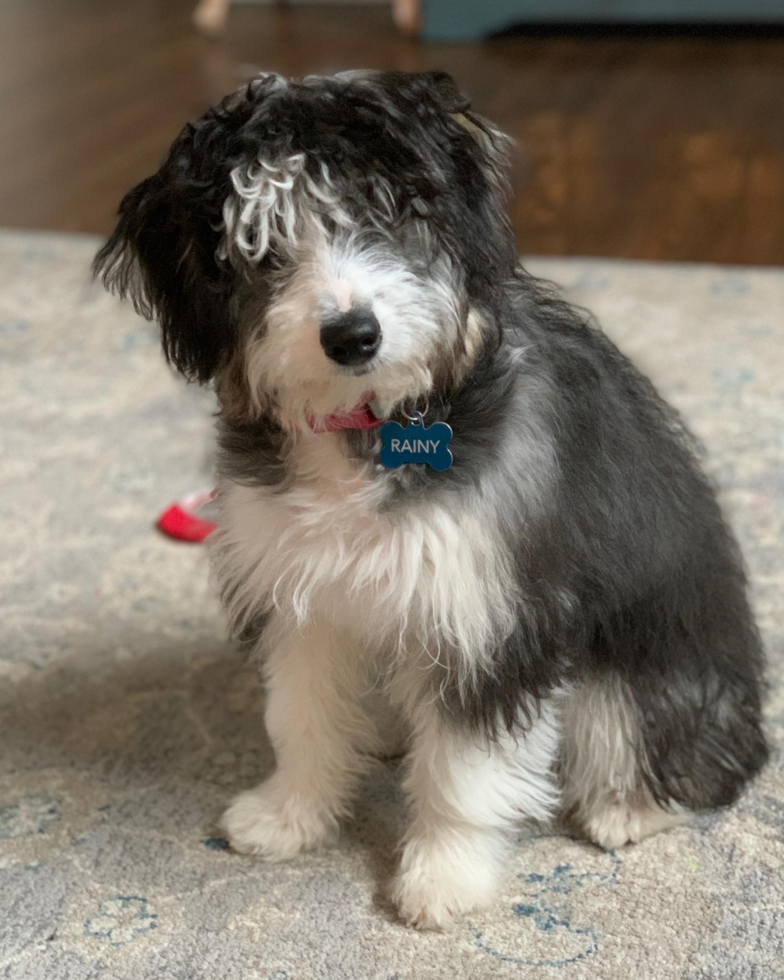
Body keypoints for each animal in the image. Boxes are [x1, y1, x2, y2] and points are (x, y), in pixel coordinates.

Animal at [95, 72, 768, 932]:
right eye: (258, 246)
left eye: (382, 213)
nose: (353, 335)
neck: (367, 425)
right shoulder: (298, 596)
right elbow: (302, 720)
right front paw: (290, 816)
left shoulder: (485, 617)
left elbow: (461, 772)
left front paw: (443, 876)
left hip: (643, 672)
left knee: (677, 751)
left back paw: (630, 805)